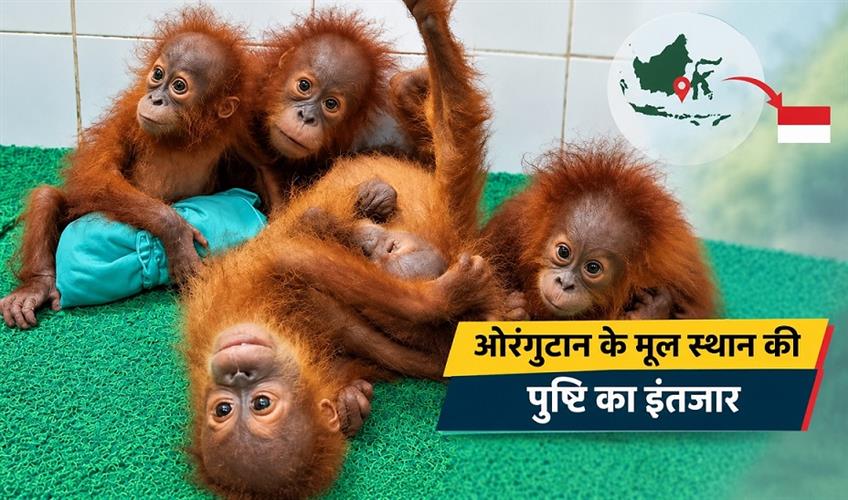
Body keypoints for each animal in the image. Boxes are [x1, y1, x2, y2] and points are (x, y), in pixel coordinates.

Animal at [0, 7, 260, 329]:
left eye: (179, 86)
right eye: (158, 74)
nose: (155, 99)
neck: (181, 136)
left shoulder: (237, 133)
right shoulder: (127, 116)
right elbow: (96, 175)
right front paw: (175, 231)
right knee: (46, 197)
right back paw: (37, 286)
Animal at [182, 1, 505, 496]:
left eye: (259, 404)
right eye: (224, 410)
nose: (236, 372)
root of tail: (457, 232)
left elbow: (302, 248)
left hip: (443, 197)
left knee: (451, 142)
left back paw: (426, 40)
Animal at [482, 143, 718, 321]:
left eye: (593, 268)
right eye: (563, 252)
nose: (565, 284)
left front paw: (652, 312)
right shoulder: (511, 228)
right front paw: (512, 311)